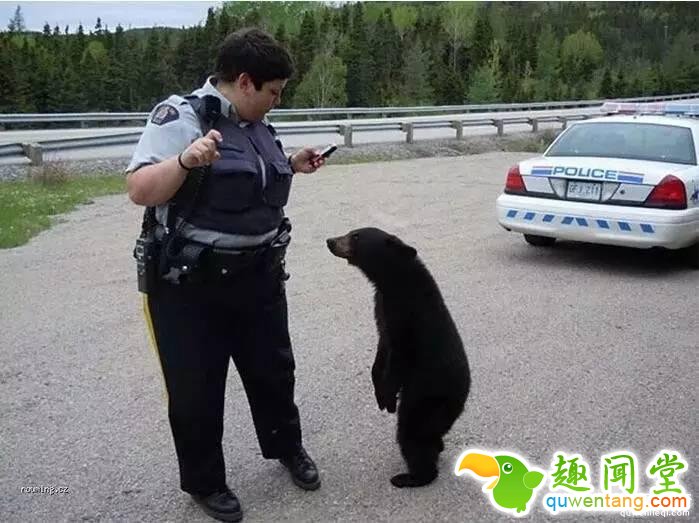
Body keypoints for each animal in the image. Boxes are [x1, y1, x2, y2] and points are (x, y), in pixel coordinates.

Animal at [326, 227, 470, 490]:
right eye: (351, 232)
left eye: (356, 236)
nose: (330, 241)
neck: (393, 281)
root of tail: (461, 401)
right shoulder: (381, 309)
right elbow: (382, 348)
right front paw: (378, 391)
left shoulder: (406, 315)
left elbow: (398, 357)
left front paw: (386, 397)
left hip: (425, 397)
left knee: (412, 432)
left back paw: (411, 477)